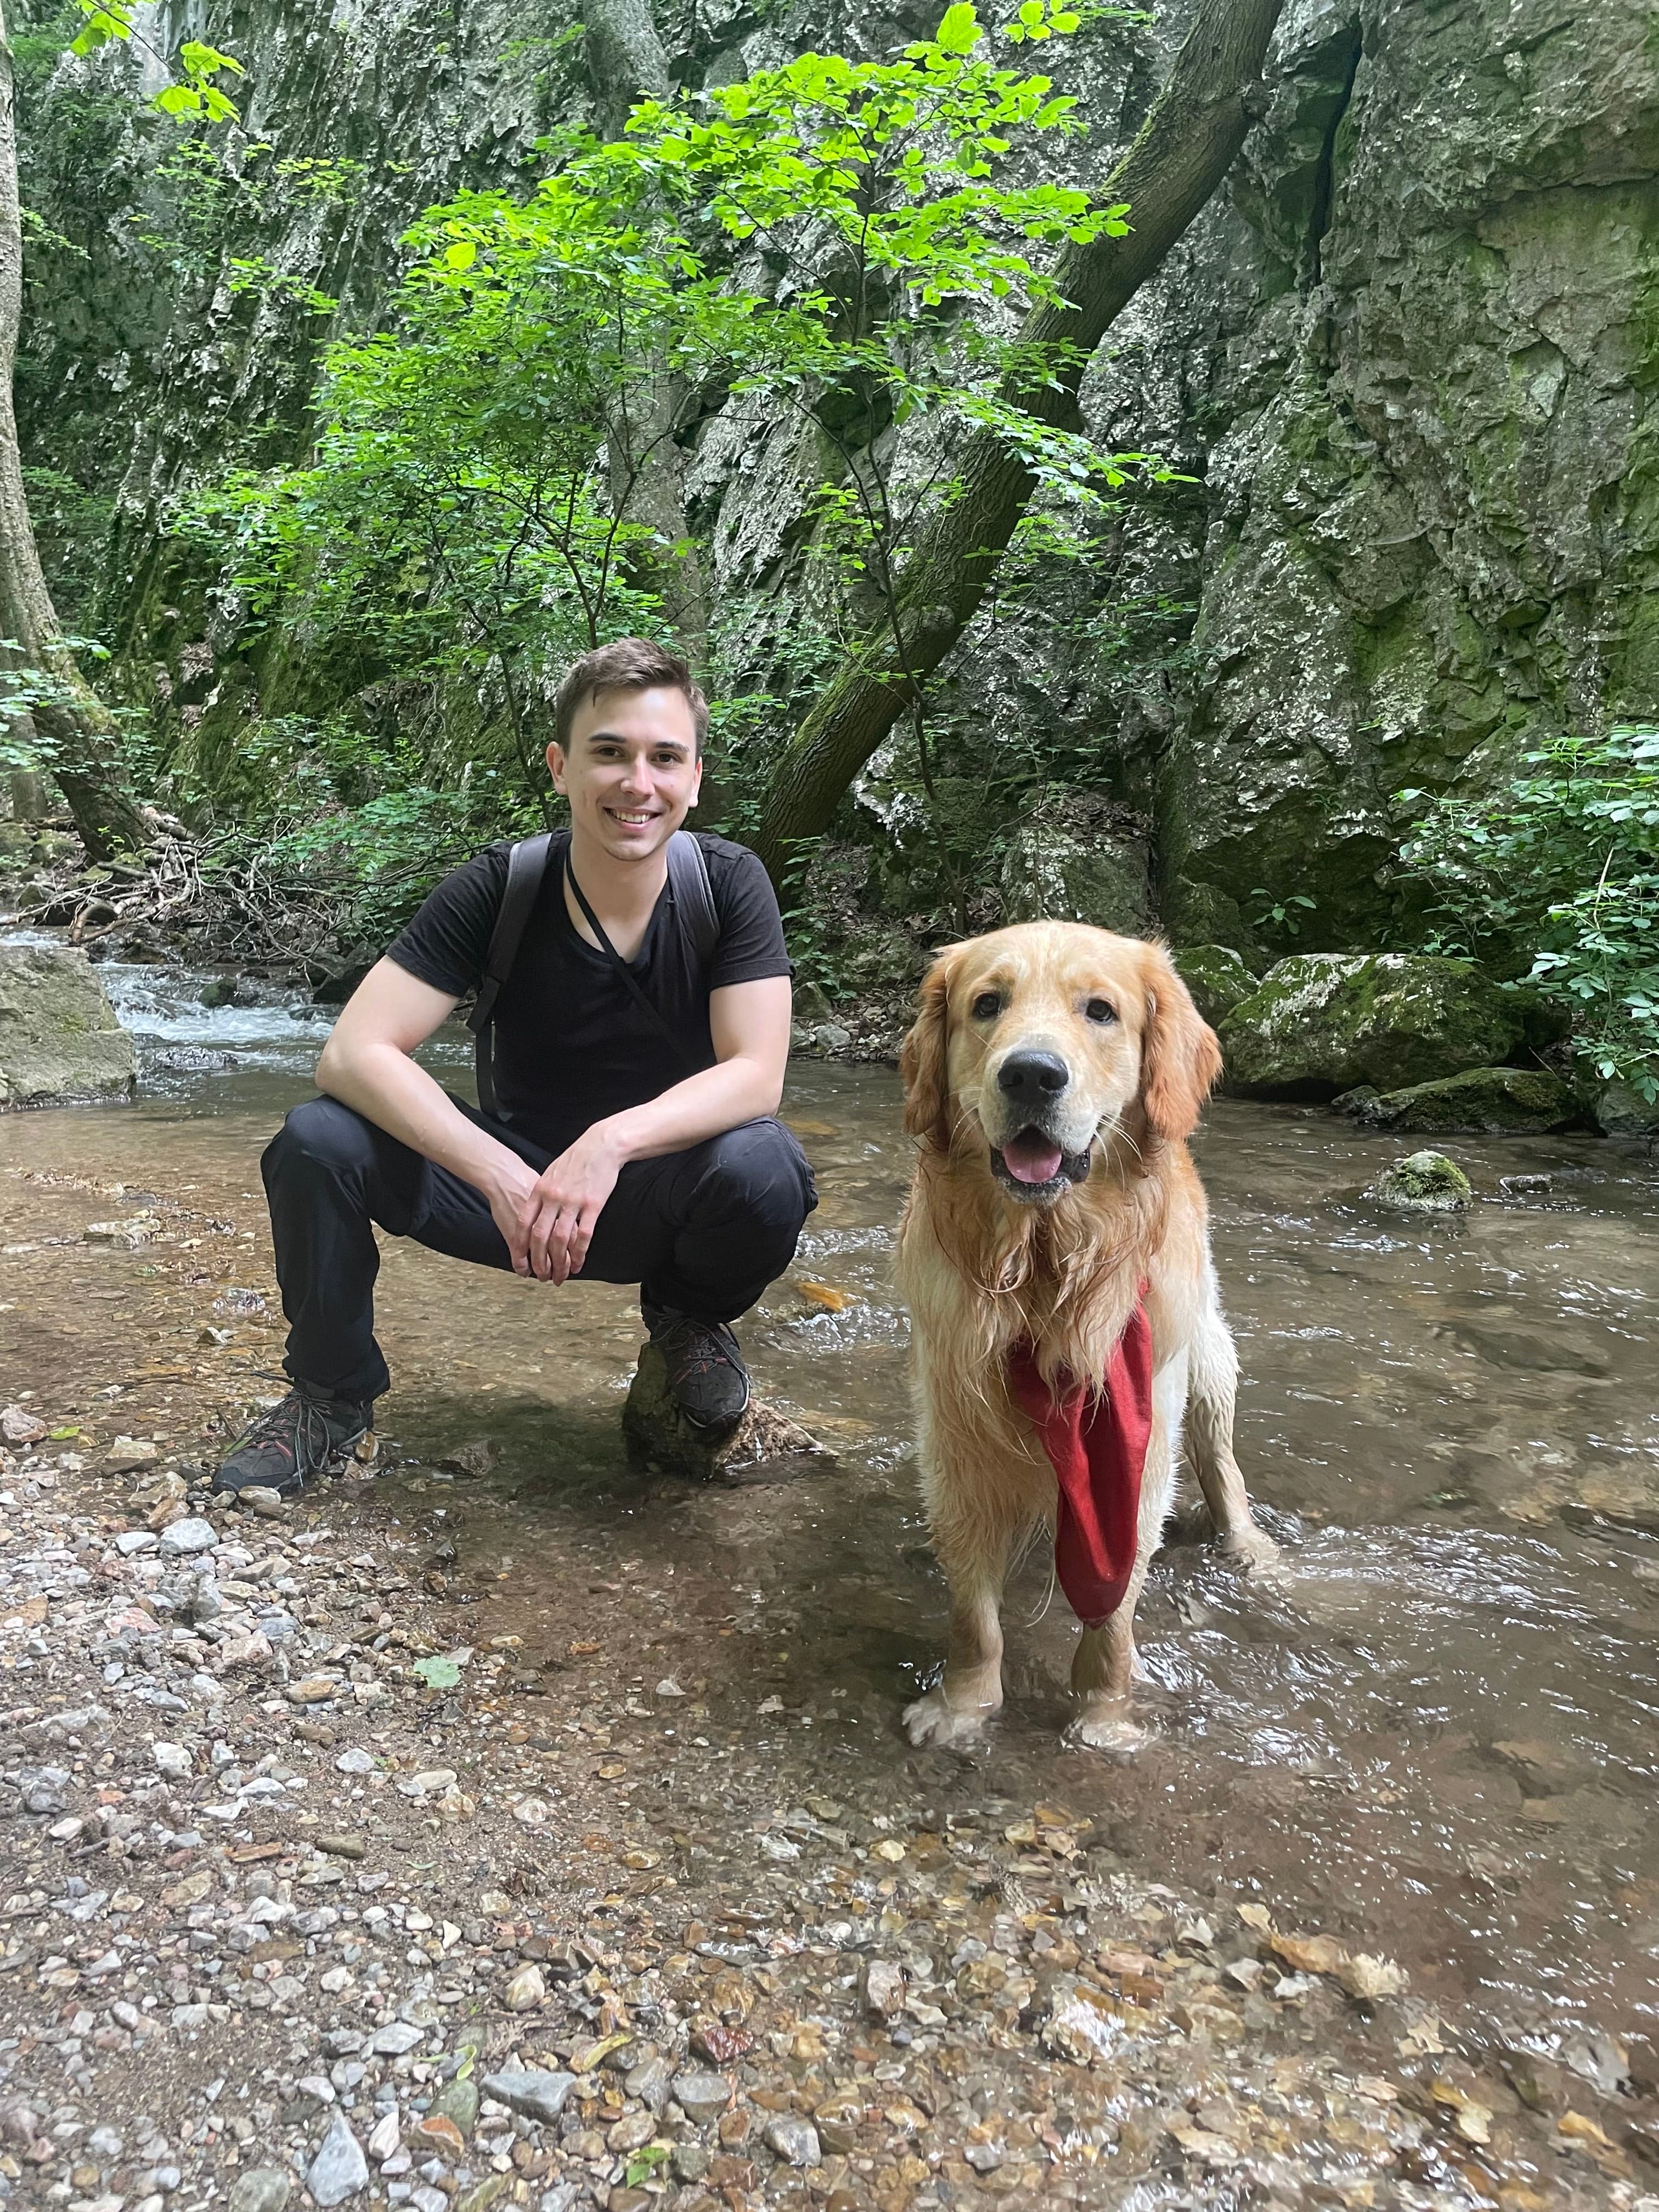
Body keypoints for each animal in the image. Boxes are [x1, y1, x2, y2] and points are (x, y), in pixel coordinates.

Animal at [898, 916, 1274, 1743]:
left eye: (1101, 1011)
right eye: (987, 1004)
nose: (1031, 1076)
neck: (1046, 1268)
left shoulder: (1138, 1442)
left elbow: (1114, 1604)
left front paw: (1105, 1714)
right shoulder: (958, 1435)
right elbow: (974, 1613)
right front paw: (965, 1705)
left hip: (1207, 1361)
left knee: (1224, 1467)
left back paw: (1256, 1551)